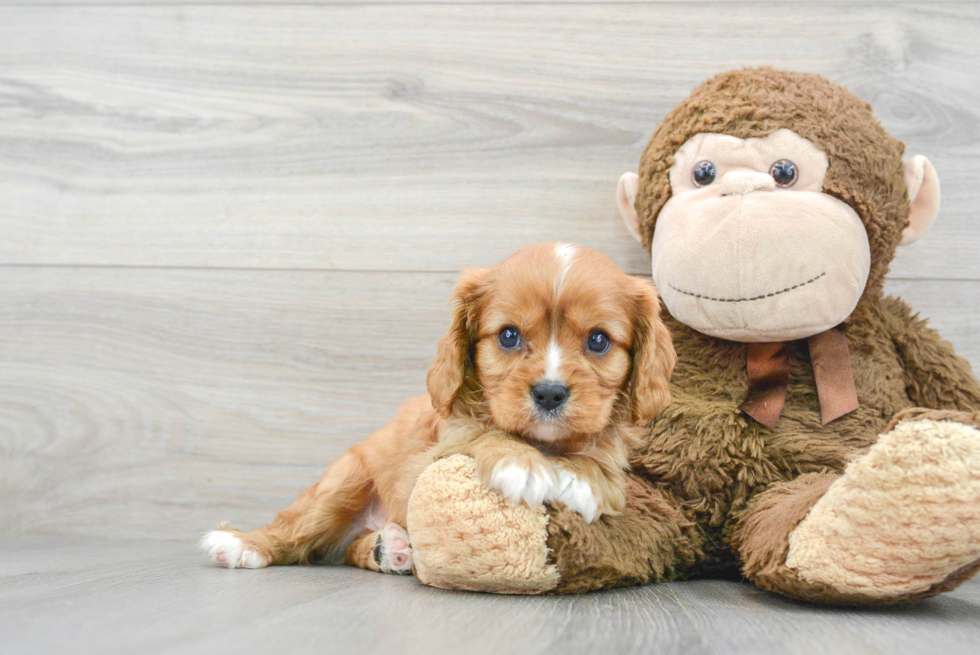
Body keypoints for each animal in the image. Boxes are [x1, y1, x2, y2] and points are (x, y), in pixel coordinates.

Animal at [199, 242, 672, 576]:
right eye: (508, 335)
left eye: (598, 340)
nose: (550, 394)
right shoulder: (436, 447)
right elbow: (482, 431)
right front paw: (520, 464)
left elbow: (602, 461)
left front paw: (580, 477)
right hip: (343, 481)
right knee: (294, 529)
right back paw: (242, 544)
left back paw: (388, 548)